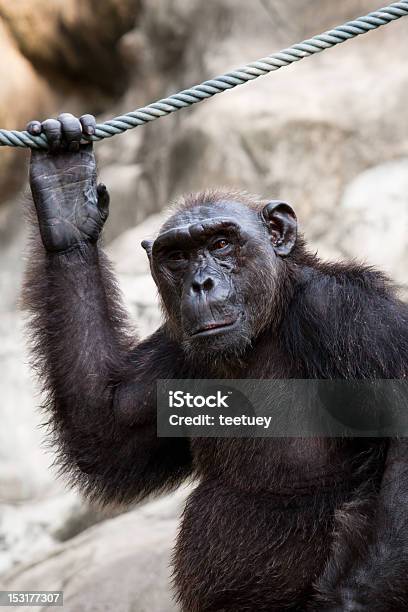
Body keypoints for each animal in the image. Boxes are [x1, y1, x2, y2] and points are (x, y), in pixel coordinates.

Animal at [22, 115, 408, 612]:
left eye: (222, 242)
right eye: (178, 256)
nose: (201, 282)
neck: (269, 321)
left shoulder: (352, 316)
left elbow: (402, 441)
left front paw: (347, 603)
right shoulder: (176, 350)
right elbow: (107, 426)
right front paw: (64, 194)